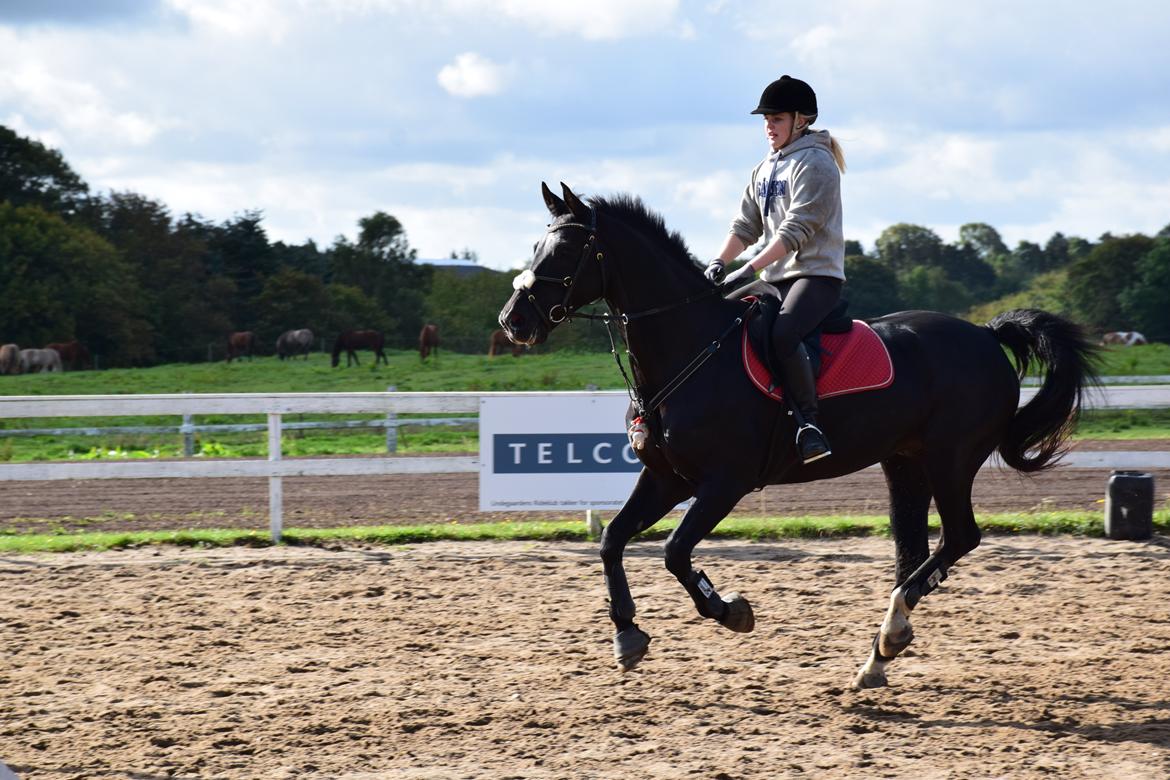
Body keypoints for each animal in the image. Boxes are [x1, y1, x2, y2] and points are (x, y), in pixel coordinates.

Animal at [498, 184, 1099, 687]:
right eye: (537, 244)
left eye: (566, 251)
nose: (513, 320)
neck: (691, 349)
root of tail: (984, 334)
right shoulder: (668, 477)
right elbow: (612, 540)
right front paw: (626, 633)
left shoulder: (725, 482)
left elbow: (673, 552)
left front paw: (731, 610)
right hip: (905, 462)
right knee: (913, 550)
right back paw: (881, 652)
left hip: (950, 460)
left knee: (960, 538)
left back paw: (889, 634)